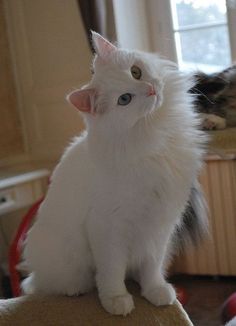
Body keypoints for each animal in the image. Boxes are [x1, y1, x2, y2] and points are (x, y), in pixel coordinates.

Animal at [21, 31, 206, 314]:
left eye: (136, 72)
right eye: (125, 100)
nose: (150, 89)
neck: (154, 137)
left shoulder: (160, 224)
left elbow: (152, 266)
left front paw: (155, 292)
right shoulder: (108, 226)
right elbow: (112, 271)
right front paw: (116, 301)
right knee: (47, 285)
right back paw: (74, 289)